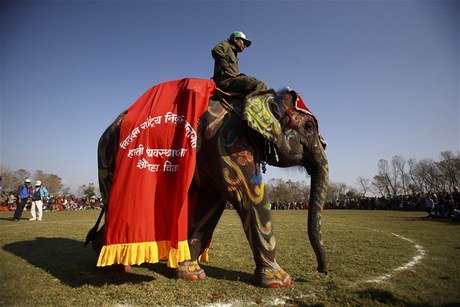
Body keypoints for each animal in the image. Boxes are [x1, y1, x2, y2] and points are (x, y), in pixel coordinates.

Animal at [86, 79, 328, 288]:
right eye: (308, 126)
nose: (321, 270)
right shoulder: (228, 143)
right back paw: (117, 266)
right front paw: (280, 281)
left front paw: (191, 273)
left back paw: (106, 255)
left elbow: (210, 205)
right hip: (109, 159)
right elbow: (248, 195)